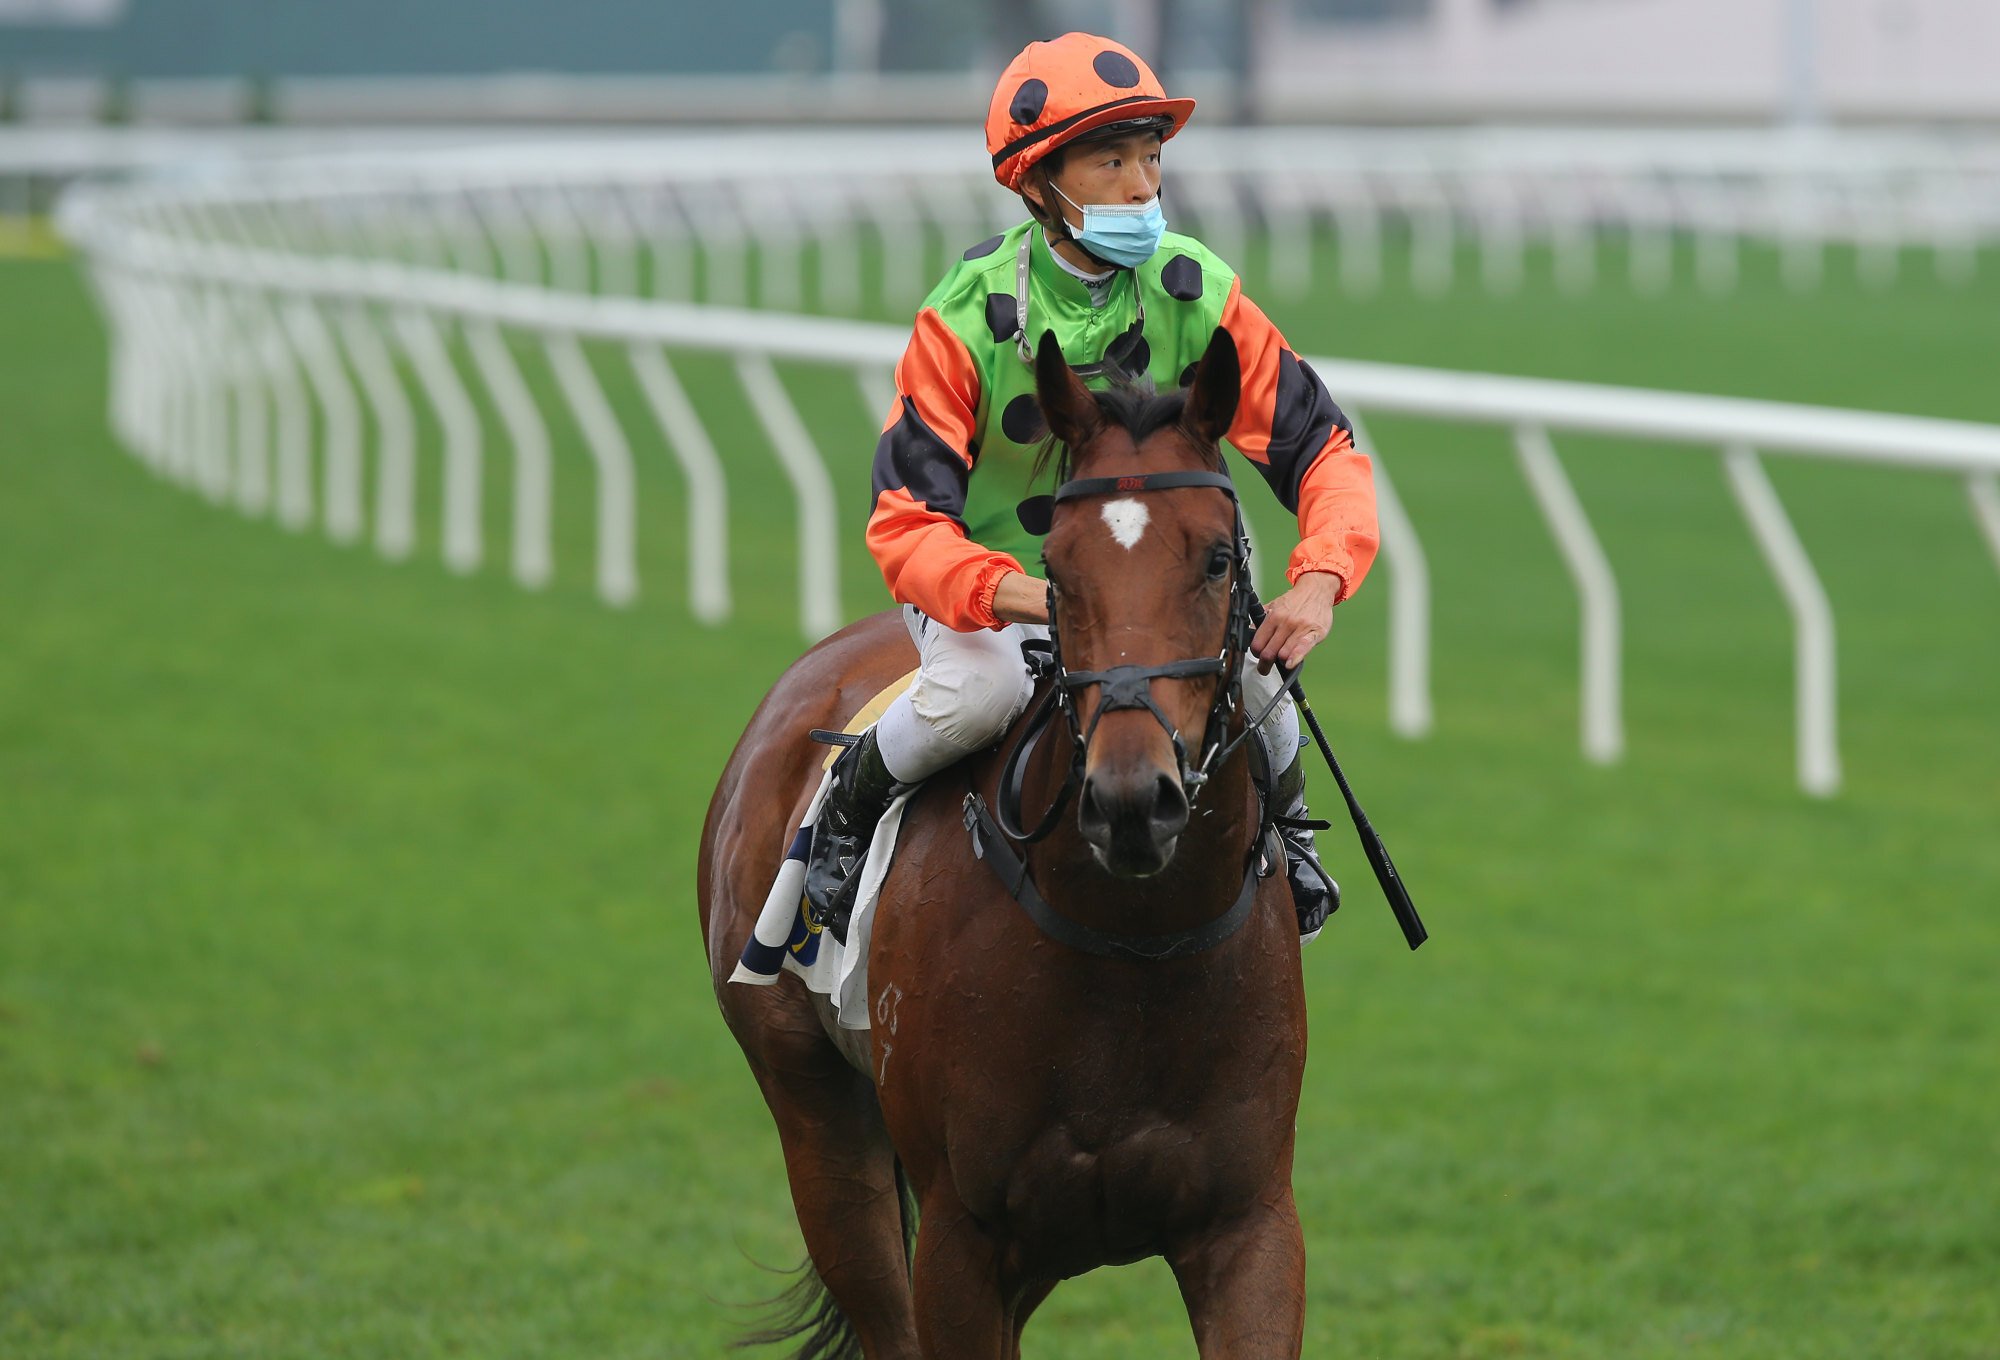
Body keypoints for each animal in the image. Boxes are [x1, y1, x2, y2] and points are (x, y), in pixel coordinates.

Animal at [704, 330, 1312, 1360]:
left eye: (1217, 559)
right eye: (1057, 571)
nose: (1130, 801)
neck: (1135, 945)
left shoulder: (1250, 1226)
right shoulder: (963, 1238)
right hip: (817, 1113)